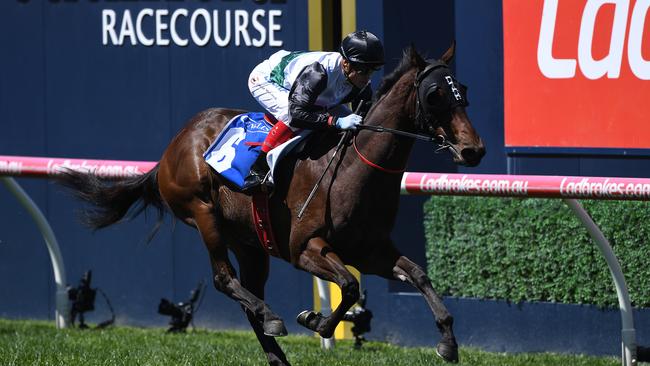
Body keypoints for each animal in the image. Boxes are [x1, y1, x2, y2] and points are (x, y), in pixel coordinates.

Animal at [59, 45, 480, 366]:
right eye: (434, 95)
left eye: (461, 89)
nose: (473, 150)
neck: (352, 170)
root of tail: (173, 146)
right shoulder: (304, 248)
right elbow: (348, 285)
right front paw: (315, 320)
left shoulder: (370, 250)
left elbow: (418, 275)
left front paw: (448, 342)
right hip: (203, 212)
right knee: (224, 279)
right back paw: (274, 318)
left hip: (249, 241)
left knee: (248, 297)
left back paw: (276, 351)